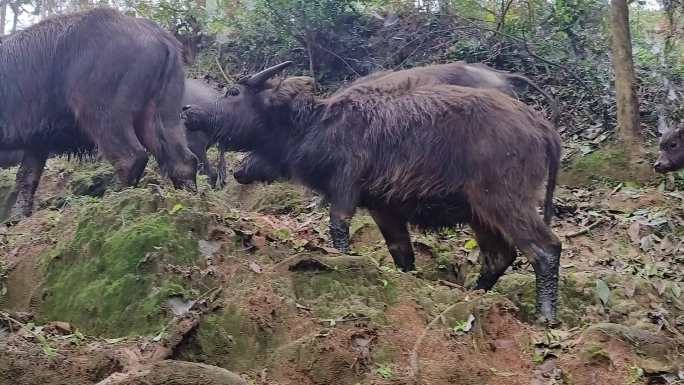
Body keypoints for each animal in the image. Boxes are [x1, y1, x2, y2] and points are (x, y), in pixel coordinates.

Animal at [0, 7, 198, 220]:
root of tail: (160, 37)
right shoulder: (38, 141)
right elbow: (26, 178)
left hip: (101, 114)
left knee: (131, 157)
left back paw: (116, 201)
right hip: (162, 115)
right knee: (183, 161)